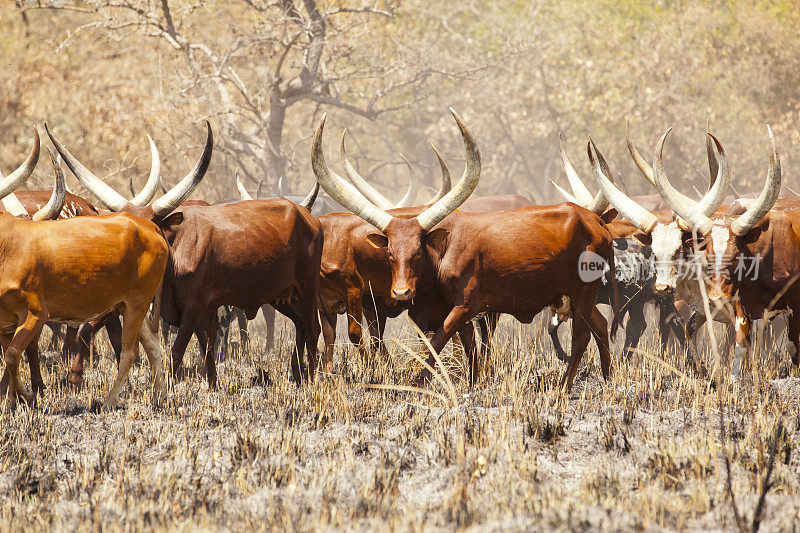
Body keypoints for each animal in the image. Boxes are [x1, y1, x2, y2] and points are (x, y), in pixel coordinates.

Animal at [310, 110, 616, 388]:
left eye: (418, 251)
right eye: (390, 254)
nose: (401, 292)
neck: (444, 252)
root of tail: (597, 221)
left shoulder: (464, 306)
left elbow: (438, 343)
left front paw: (418, 383)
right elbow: (467, 348)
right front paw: (472, 384)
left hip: (583, 292)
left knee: (581, 337)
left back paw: (564, 387)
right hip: (572, 295)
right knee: (600, 326)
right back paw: (608, 377)